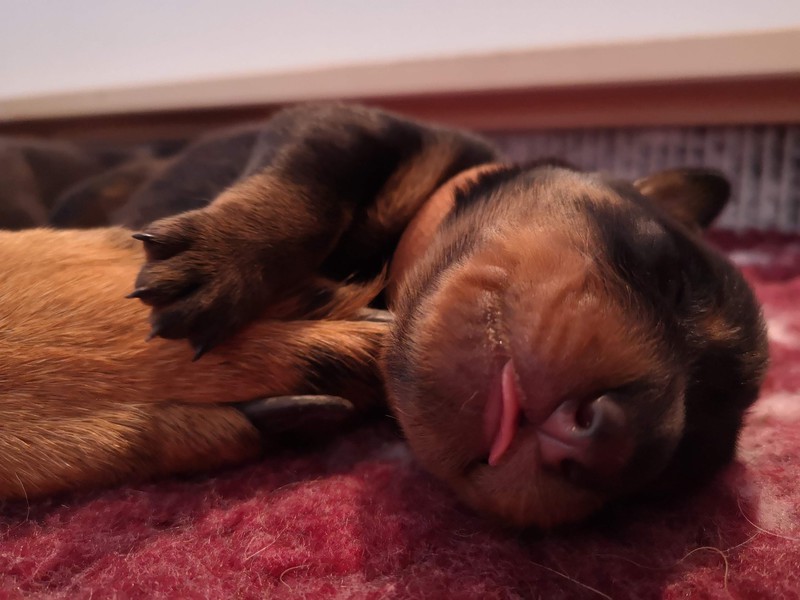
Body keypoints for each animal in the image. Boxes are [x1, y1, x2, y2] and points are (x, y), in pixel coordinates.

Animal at [0, 104, 768, 528]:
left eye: (666, 472)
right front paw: (223, 259)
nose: (614, 436)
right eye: (673, 280)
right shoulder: (348, 126)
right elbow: (310, 185)